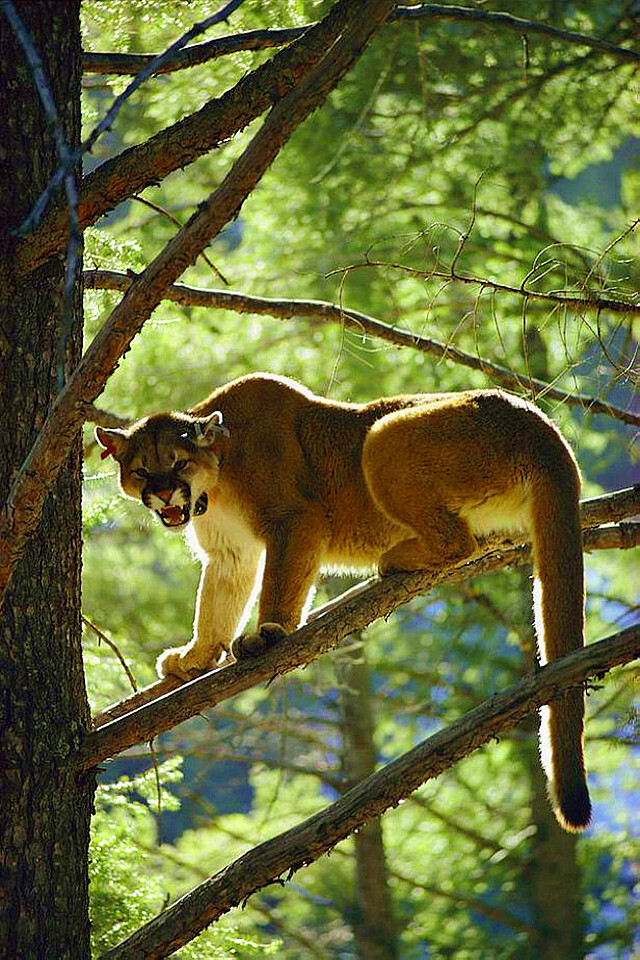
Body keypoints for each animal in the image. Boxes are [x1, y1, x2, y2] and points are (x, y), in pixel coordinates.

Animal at [96, 372, 592, 828]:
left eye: (178, 463)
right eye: (141, 470)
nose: (163, 492)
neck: (215, 485)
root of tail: (538, 421)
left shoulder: (294, 519)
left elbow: (279, 583)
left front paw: (269, 634)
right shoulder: (230, 554)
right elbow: (215, 609)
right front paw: (196, 657)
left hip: (384, 435)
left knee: (459, 540)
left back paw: (395, 557)